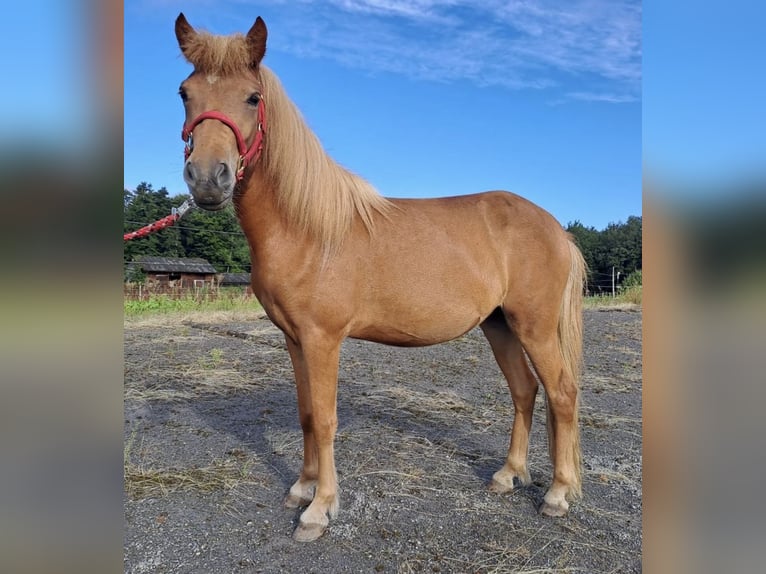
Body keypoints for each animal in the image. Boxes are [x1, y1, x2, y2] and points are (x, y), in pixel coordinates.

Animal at [176, 13, 588, 544]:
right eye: (185, 92)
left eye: (252, 97)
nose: (208, 179)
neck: (308, 228)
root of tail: (556, 228)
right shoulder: (294, 339)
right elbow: (306, 414)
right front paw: (302, 488)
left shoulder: (322, 338)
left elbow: (325, 419)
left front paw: (319, 509)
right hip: (498, 325)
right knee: (525, 391)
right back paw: (507, 475)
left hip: (533, 326)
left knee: (561, 393)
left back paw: (557, 494)